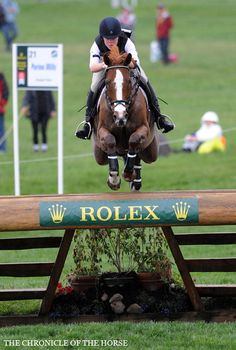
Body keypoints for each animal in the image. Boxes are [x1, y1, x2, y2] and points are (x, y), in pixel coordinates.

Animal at [92, 45, 159, 191]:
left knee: (138, 154)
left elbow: (134, 140)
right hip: (99, 154)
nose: (120, 115)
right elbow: (110, 142)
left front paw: (128, 173)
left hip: (150, 151)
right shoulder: (102, 130)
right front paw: (114, 179)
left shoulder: (144, 128)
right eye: (107, 82)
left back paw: (135, 179)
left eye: (128, 81)